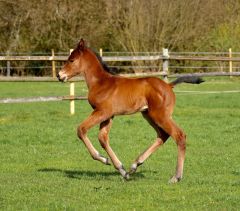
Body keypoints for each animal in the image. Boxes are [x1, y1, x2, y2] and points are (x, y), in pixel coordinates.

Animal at [57, 39, 203, 183]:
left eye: (71, 60)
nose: (59, 75)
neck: (101, 83)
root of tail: (168, 85)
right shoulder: (109, 115)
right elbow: (103, 138)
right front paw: (122, 170)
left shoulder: (102, 112)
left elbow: (81, 129)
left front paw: (102, 158)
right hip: (149, 115)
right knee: (163, 135)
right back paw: (135, 165)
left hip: (160, 116)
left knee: (179, 135)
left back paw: (176, 176)